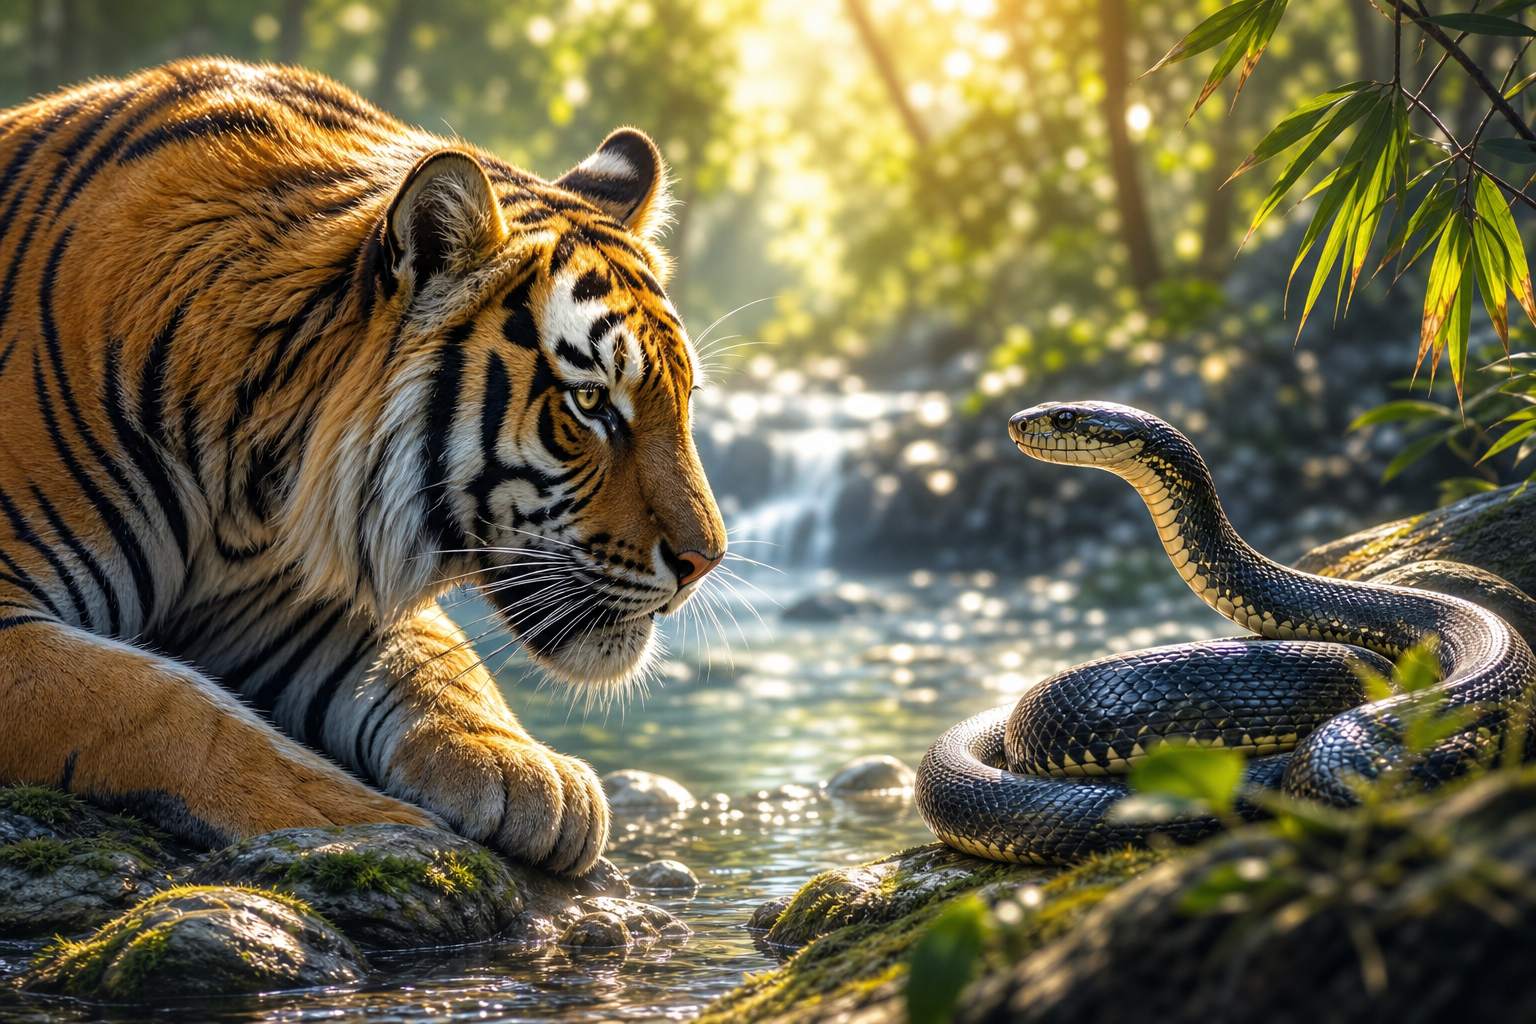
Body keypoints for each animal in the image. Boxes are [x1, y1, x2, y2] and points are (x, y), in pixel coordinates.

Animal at [0, 57, 727, 876]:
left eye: (685, 397)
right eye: (591, 400)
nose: (706, 561)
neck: (250, 485)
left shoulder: (283, 599)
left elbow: (432, 663)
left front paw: (533, 775)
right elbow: (161, 704)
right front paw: (353, 818)